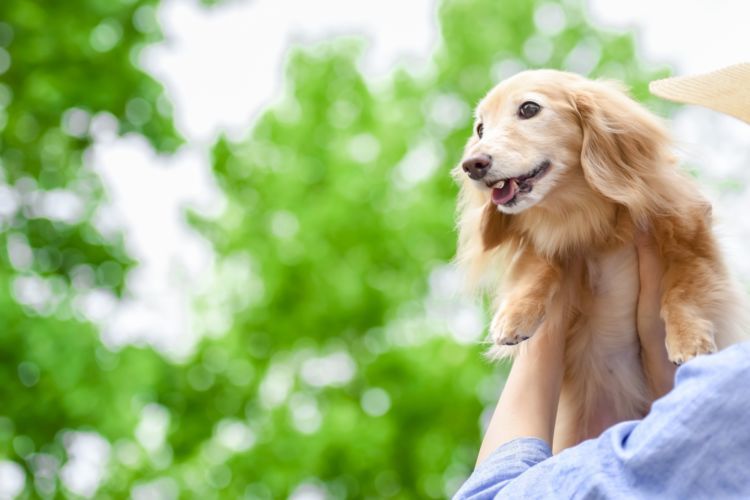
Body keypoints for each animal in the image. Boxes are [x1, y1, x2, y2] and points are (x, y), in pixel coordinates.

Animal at [456, 69, 748, 450]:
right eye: (480, 129)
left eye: (529, 108)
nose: (472, 165)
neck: (587, 217)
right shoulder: (547, 242)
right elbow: (538, 265)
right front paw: (515, 316)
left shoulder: (691, 236)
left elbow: (682, 290)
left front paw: (688, 340)